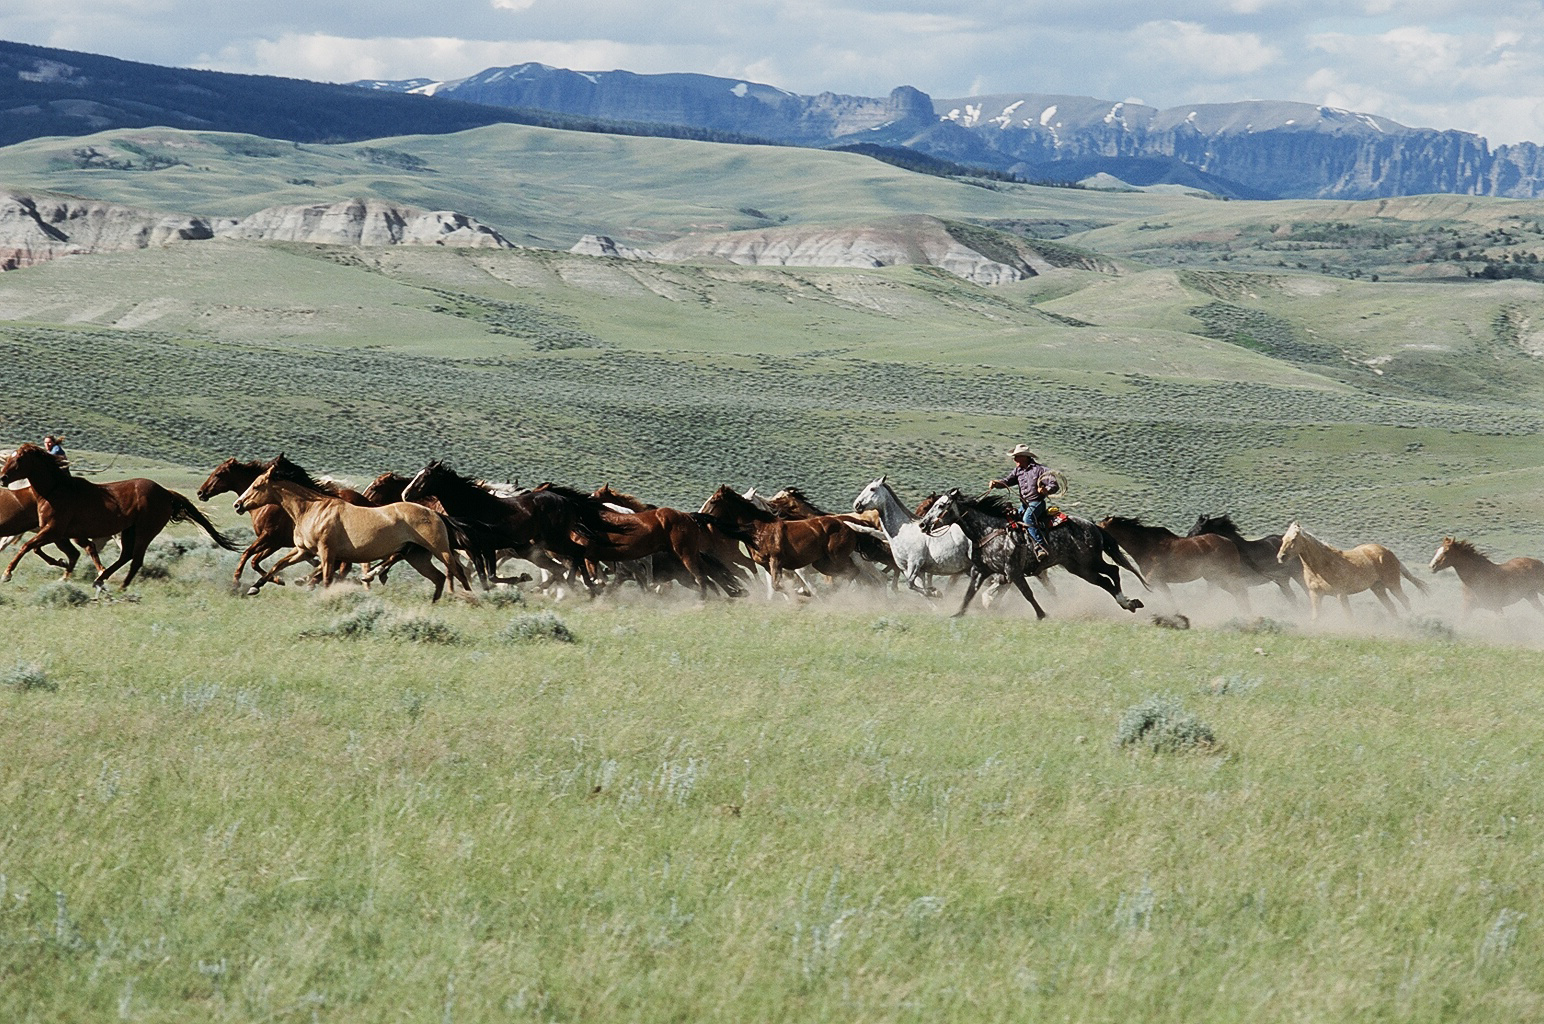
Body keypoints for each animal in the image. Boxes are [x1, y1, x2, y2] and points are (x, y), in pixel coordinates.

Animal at [0, 441, 237, 593]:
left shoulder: (54, 530)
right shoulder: (59, 533)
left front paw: (7, 574)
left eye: (19, 458)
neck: (55, 490)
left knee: (136, 559)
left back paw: (120, 586)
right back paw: (100, 580)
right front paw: (62, 570)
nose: (3, 478)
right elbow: (44, 550)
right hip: (129, 530)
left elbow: (27, 546)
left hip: (145, 530)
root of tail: (166, 493)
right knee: (126, 556)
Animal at [1099, 515, 1266, 611]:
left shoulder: (1155, 580)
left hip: (1224, 576)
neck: (1146, 545)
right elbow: (1169, 599)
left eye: (1099, 527)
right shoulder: (1159, 583)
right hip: (1215, 578)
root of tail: (1231, 543)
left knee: (1241, 592)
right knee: (1239, 593)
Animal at [1272, 525, 1426, 620]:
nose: (1280, 557)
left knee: (1405, 601)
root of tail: (1388, 551)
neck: (1320, 566)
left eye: (1293, 539)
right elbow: (1316, 617)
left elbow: (1348, 616)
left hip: (1392, 584)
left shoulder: (1341, 594)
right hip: (1377, 588)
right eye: (1283, 538)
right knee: (1391, 606)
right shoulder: (1315, 594)